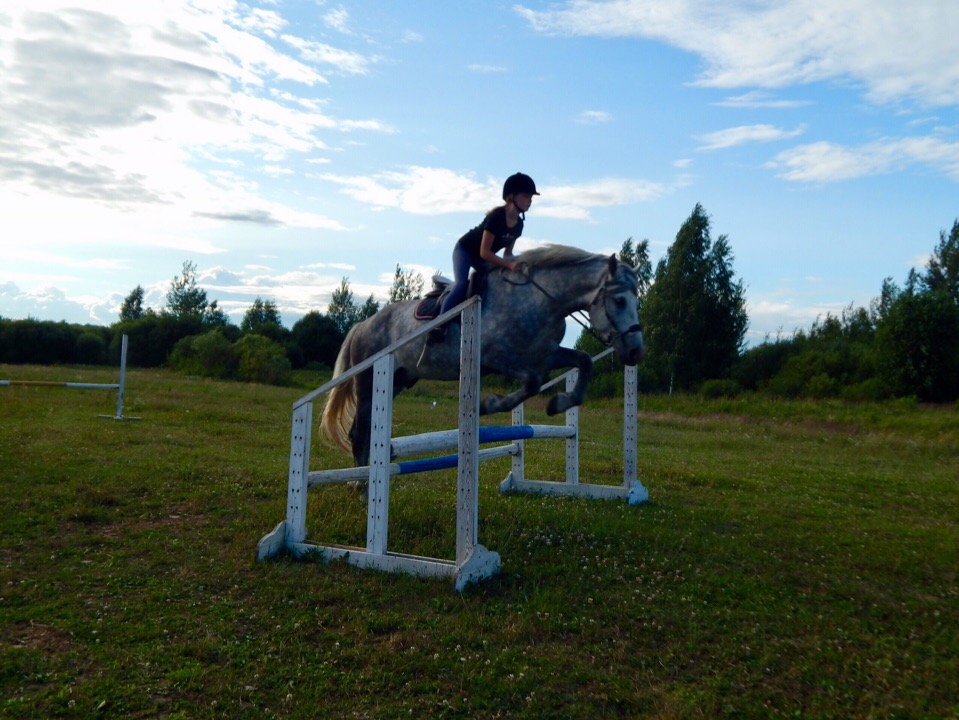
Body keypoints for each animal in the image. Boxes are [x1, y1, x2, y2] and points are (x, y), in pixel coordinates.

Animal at [320, 243, 644, 466]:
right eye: (619, 301)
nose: (635, 352)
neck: (539, 300)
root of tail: (362, 325)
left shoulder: (544, 354)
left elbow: (584, 361)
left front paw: (559, 403)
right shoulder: (499, 358)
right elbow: (532, 382)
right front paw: (487, 405)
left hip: (397, 380)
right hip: (368, 379)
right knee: (358, 433)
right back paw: (361, 487)